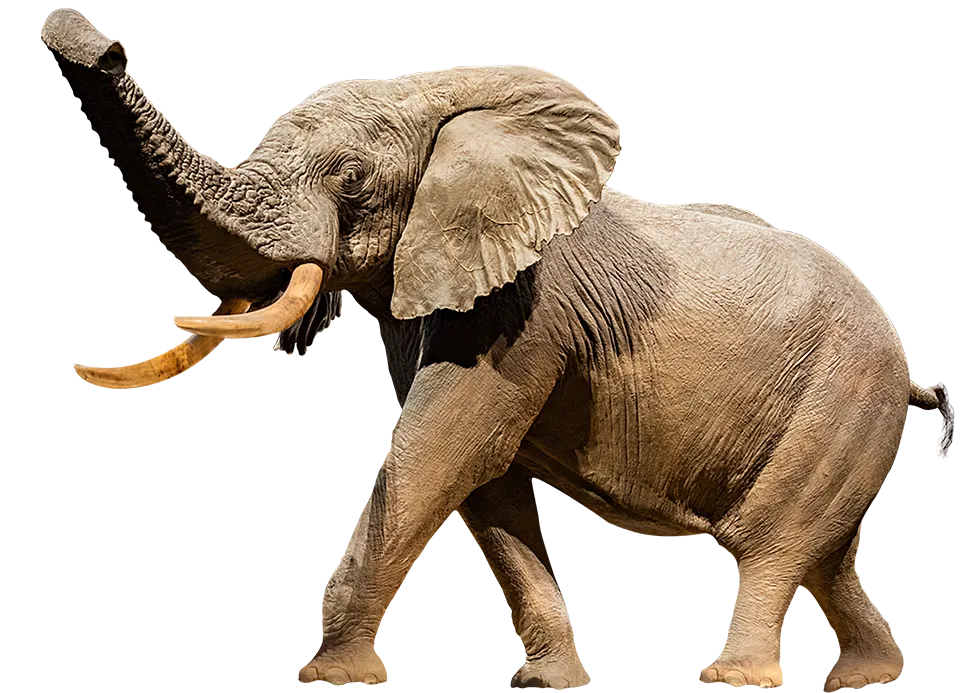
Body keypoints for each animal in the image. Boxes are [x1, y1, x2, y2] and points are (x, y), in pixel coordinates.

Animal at [46, 10, 955, 690]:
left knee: (771, 537)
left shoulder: (525, 307)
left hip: (845, 389)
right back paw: (866, 679)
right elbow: (491, 485)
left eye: (350, 178)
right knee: (829, 552)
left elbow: (443, 451)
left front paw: (331, 678)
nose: (89, 36)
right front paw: (545, 684)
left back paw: (738, 680)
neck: (438, 102)